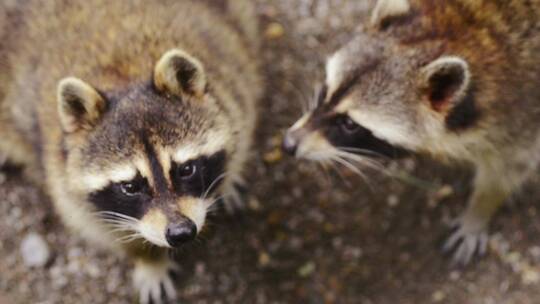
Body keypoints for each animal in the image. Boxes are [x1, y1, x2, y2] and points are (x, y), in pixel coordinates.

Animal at [0, 1, 262, 302]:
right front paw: (148, 260)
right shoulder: (62, 177)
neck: (125, 74)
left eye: (186, 169)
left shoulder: (234, 82)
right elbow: (104, 228)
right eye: (130, 186)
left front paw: (227, 178)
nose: (181, 233)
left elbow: (240, 128)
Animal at [282, 0, 540, 266]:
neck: (454, 33)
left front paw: (479, 211)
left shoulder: (523, 114)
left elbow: (510, 167)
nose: (289, 143)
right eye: (325, 91)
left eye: (349, 124)